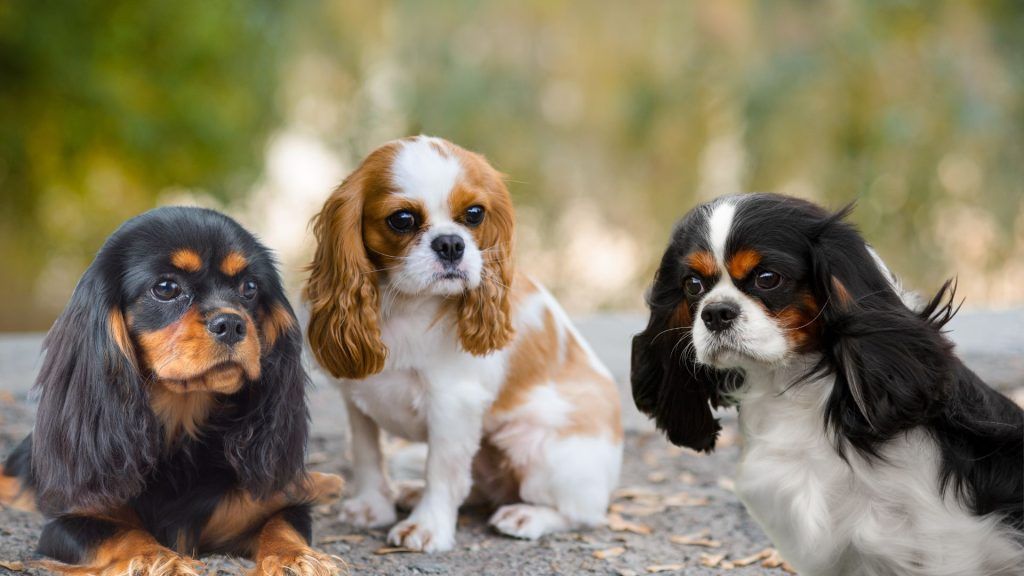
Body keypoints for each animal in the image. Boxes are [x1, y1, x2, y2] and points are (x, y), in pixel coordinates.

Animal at [0, 206, 346, 573]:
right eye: (166, 288)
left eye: (250, 287)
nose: (232, 323)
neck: (181, 426)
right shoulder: (70, 519)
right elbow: (122, 533)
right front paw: (156, 558)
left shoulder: (270, 506)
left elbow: (283, 524)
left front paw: (297, 558)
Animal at [303, 135, 622, 553]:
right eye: (401, 219)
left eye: (474, 214)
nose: (451, 243)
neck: (403, 304)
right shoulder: (357, 397)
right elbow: (367, 455)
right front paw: (372, 507)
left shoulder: (452, 404)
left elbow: (442, 470)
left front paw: (427, 527)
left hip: (540, 450)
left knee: (583, 513)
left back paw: (527, 515)